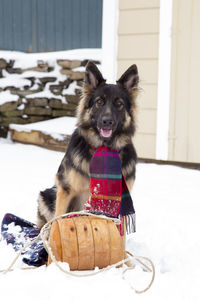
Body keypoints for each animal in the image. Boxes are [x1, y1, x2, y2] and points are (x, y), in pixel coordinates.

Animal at [36, 62, 139, 229]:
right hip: (46, 195)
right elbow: (58, 219)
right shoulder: (65, 190)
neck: (102, 146)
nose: (107, 121)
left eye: (119, 104)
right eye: (99, 102)